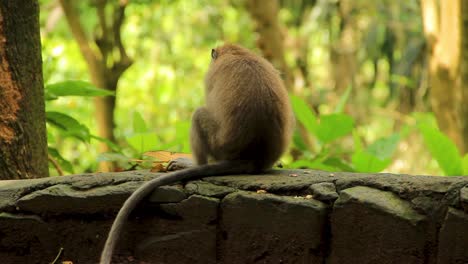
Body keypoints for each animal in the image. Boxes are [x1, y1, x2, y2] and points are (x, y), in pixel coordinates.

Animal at [100, 43, 294, 264]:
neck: (238, 52)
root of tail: (252, 156)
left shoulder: (210, 76)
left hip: (218, 145)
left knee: (199, 114)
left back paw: (195, 164)